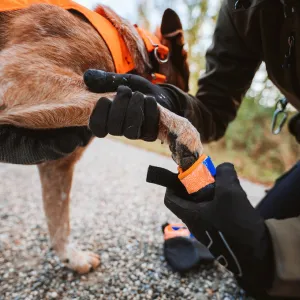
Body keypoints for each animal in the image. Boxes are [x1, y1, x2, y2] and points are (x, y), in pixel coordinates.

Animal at [0, 1, 191, 274]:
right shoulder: (15, 73)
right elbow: (123, 95)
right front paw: (183, 130)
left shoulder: (57, 164)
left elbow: (59, 220)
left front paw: (71, 257)